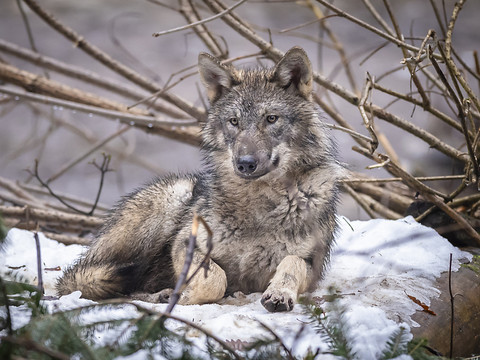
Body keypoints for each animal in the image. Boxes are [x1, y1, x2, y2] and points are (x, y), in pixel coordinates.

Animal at [56, 45, 344, 312]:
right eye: (234, 121)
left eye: (271, 119)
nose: (245, 163)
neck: (259, 205)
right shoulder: (185, 243)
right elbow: (215, 279)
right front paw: (184, 296)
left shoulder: (312, 264)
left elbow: (291, 263)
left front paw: (280, 294)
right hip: (173, 198)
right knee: (92, 283)